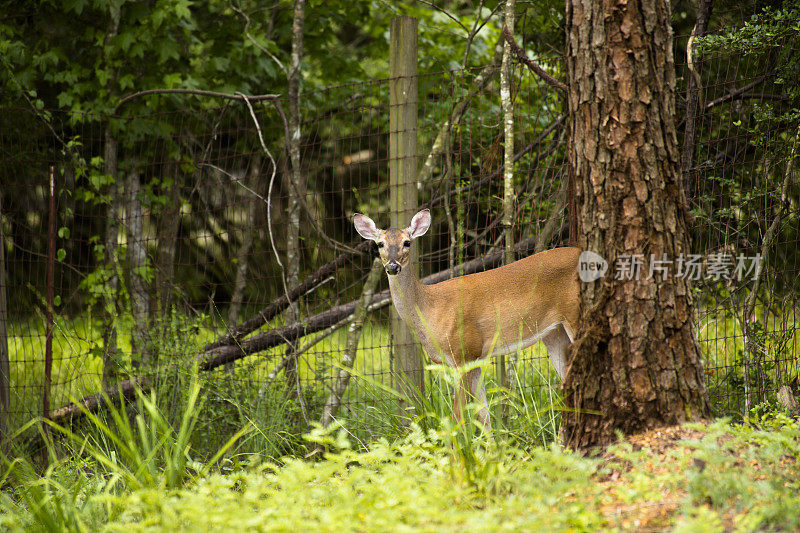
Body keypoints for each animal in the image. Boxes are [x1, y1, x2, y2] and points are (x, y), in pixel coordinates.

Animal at [354, 208, 580, 432]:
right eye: (379, 243)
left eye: (407, 242)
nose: (393, 267)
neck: (430, 308)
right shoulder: (476, 357)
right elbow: (483, 415)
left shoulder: (463, 352)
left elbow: (459, 415)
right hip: (554, 332)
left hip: (574, 316)